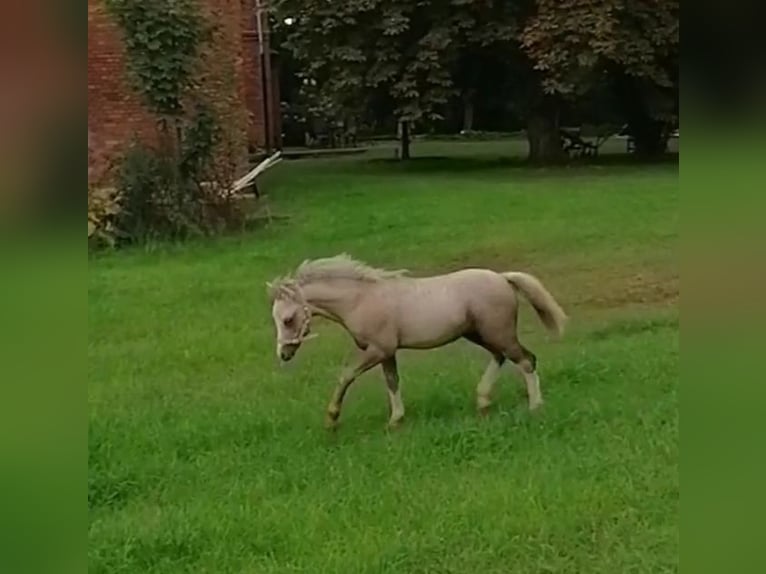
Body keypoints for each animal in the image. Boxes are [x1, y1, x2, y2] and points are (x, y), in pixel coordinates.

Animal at [268, 254, 568, 430]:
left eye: (287, 319)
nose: (284, 354)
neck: (361, 300)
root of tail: (502, 278)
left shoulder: (378, 349)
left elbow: (347, 375)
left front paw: (332, 419)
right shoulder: (387, 352)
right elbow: (392, 382)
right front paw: (396, 420)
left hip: (497, 332)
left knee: (526, 360)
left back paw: (534, 407)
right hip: (480, 334)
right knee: (502, 357)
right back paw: (483, 402)